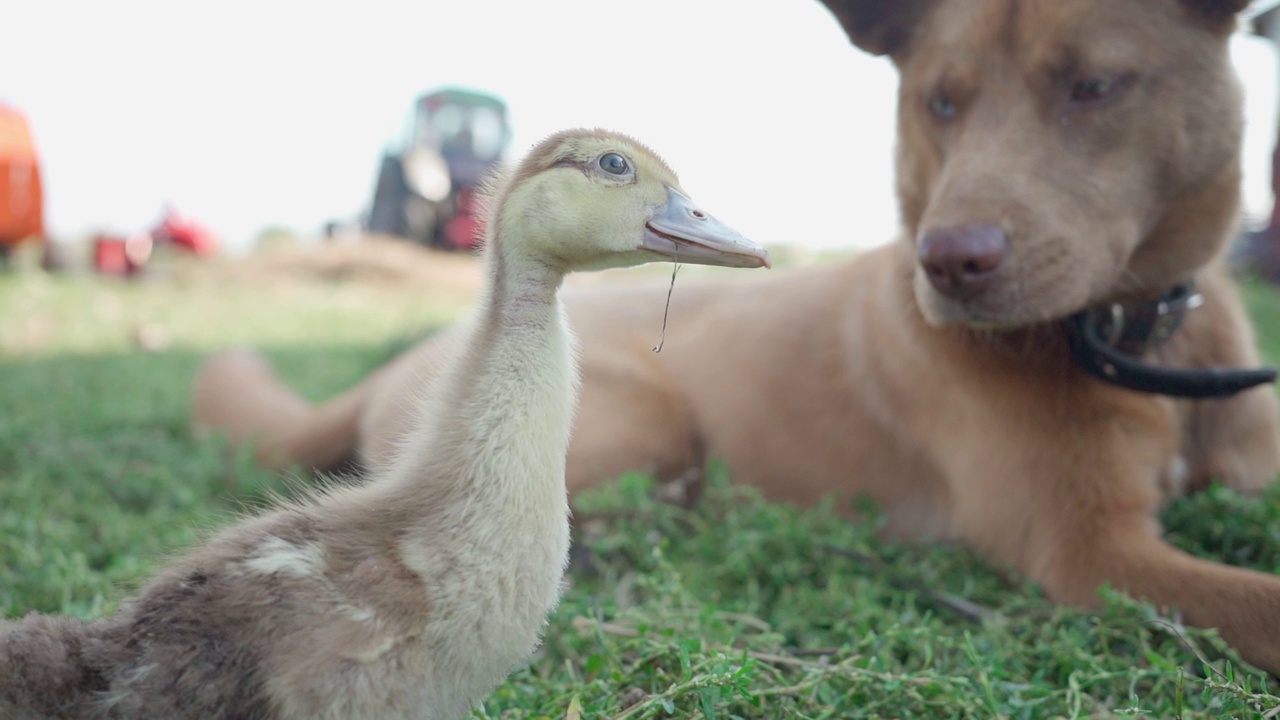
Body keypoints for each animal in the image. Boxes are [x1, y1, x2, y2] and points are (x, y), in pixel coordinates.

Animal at [194, 0, 1280, 671]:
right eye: (939, 100)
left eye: (1096, 86)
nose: (949, 265)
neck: (1144, 351)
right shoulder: (1084, 547)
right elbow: (1258, 603)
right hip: (648, 423)